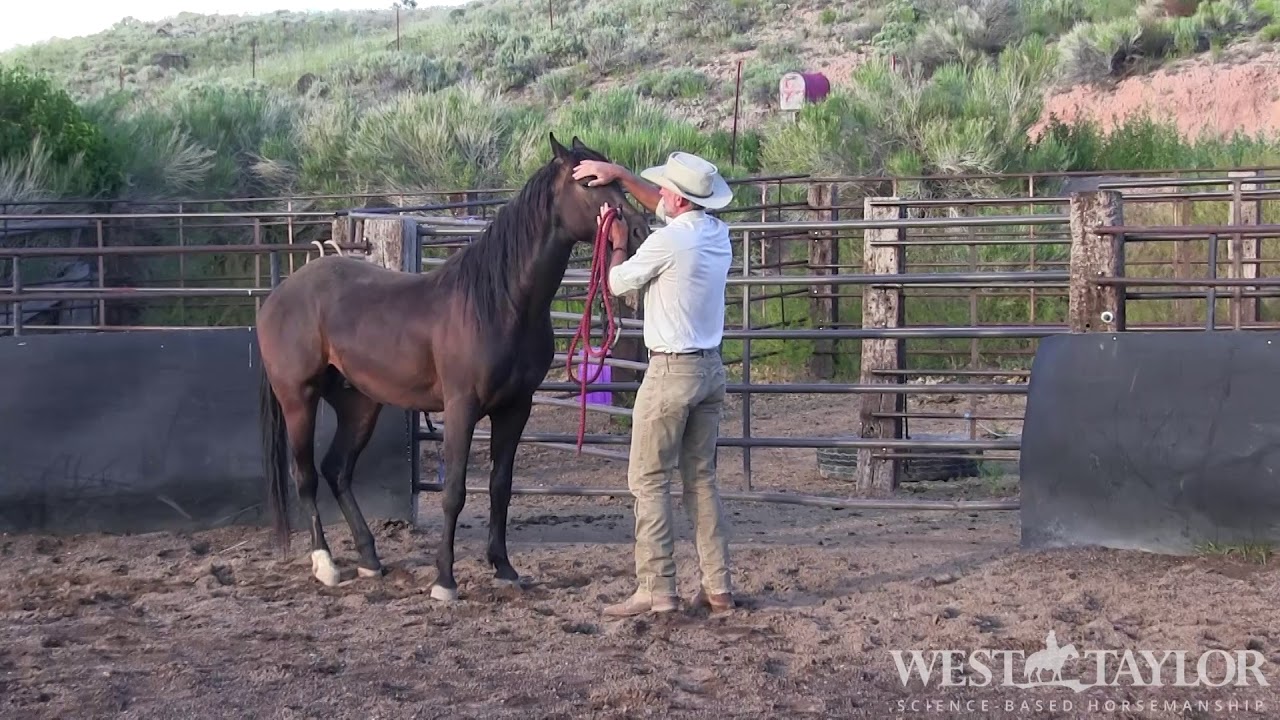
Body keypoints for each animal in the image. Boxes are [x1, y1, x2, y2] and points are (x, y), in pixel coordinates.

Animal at [255, 133, 647, 600]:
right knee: (306, 476)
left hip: (360, 403)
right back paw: (326, 564)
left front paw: (504, 568)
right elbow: (454, 491)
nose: (640, 231)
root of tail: (277, 296)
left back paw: (370, 560)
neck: (500, 302)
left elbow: (500, 487)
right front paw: (445, 580)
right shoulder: (461, 407)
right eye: (589, 182)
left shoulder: (515, 408)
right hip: (299, 398)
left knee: (337, 469)